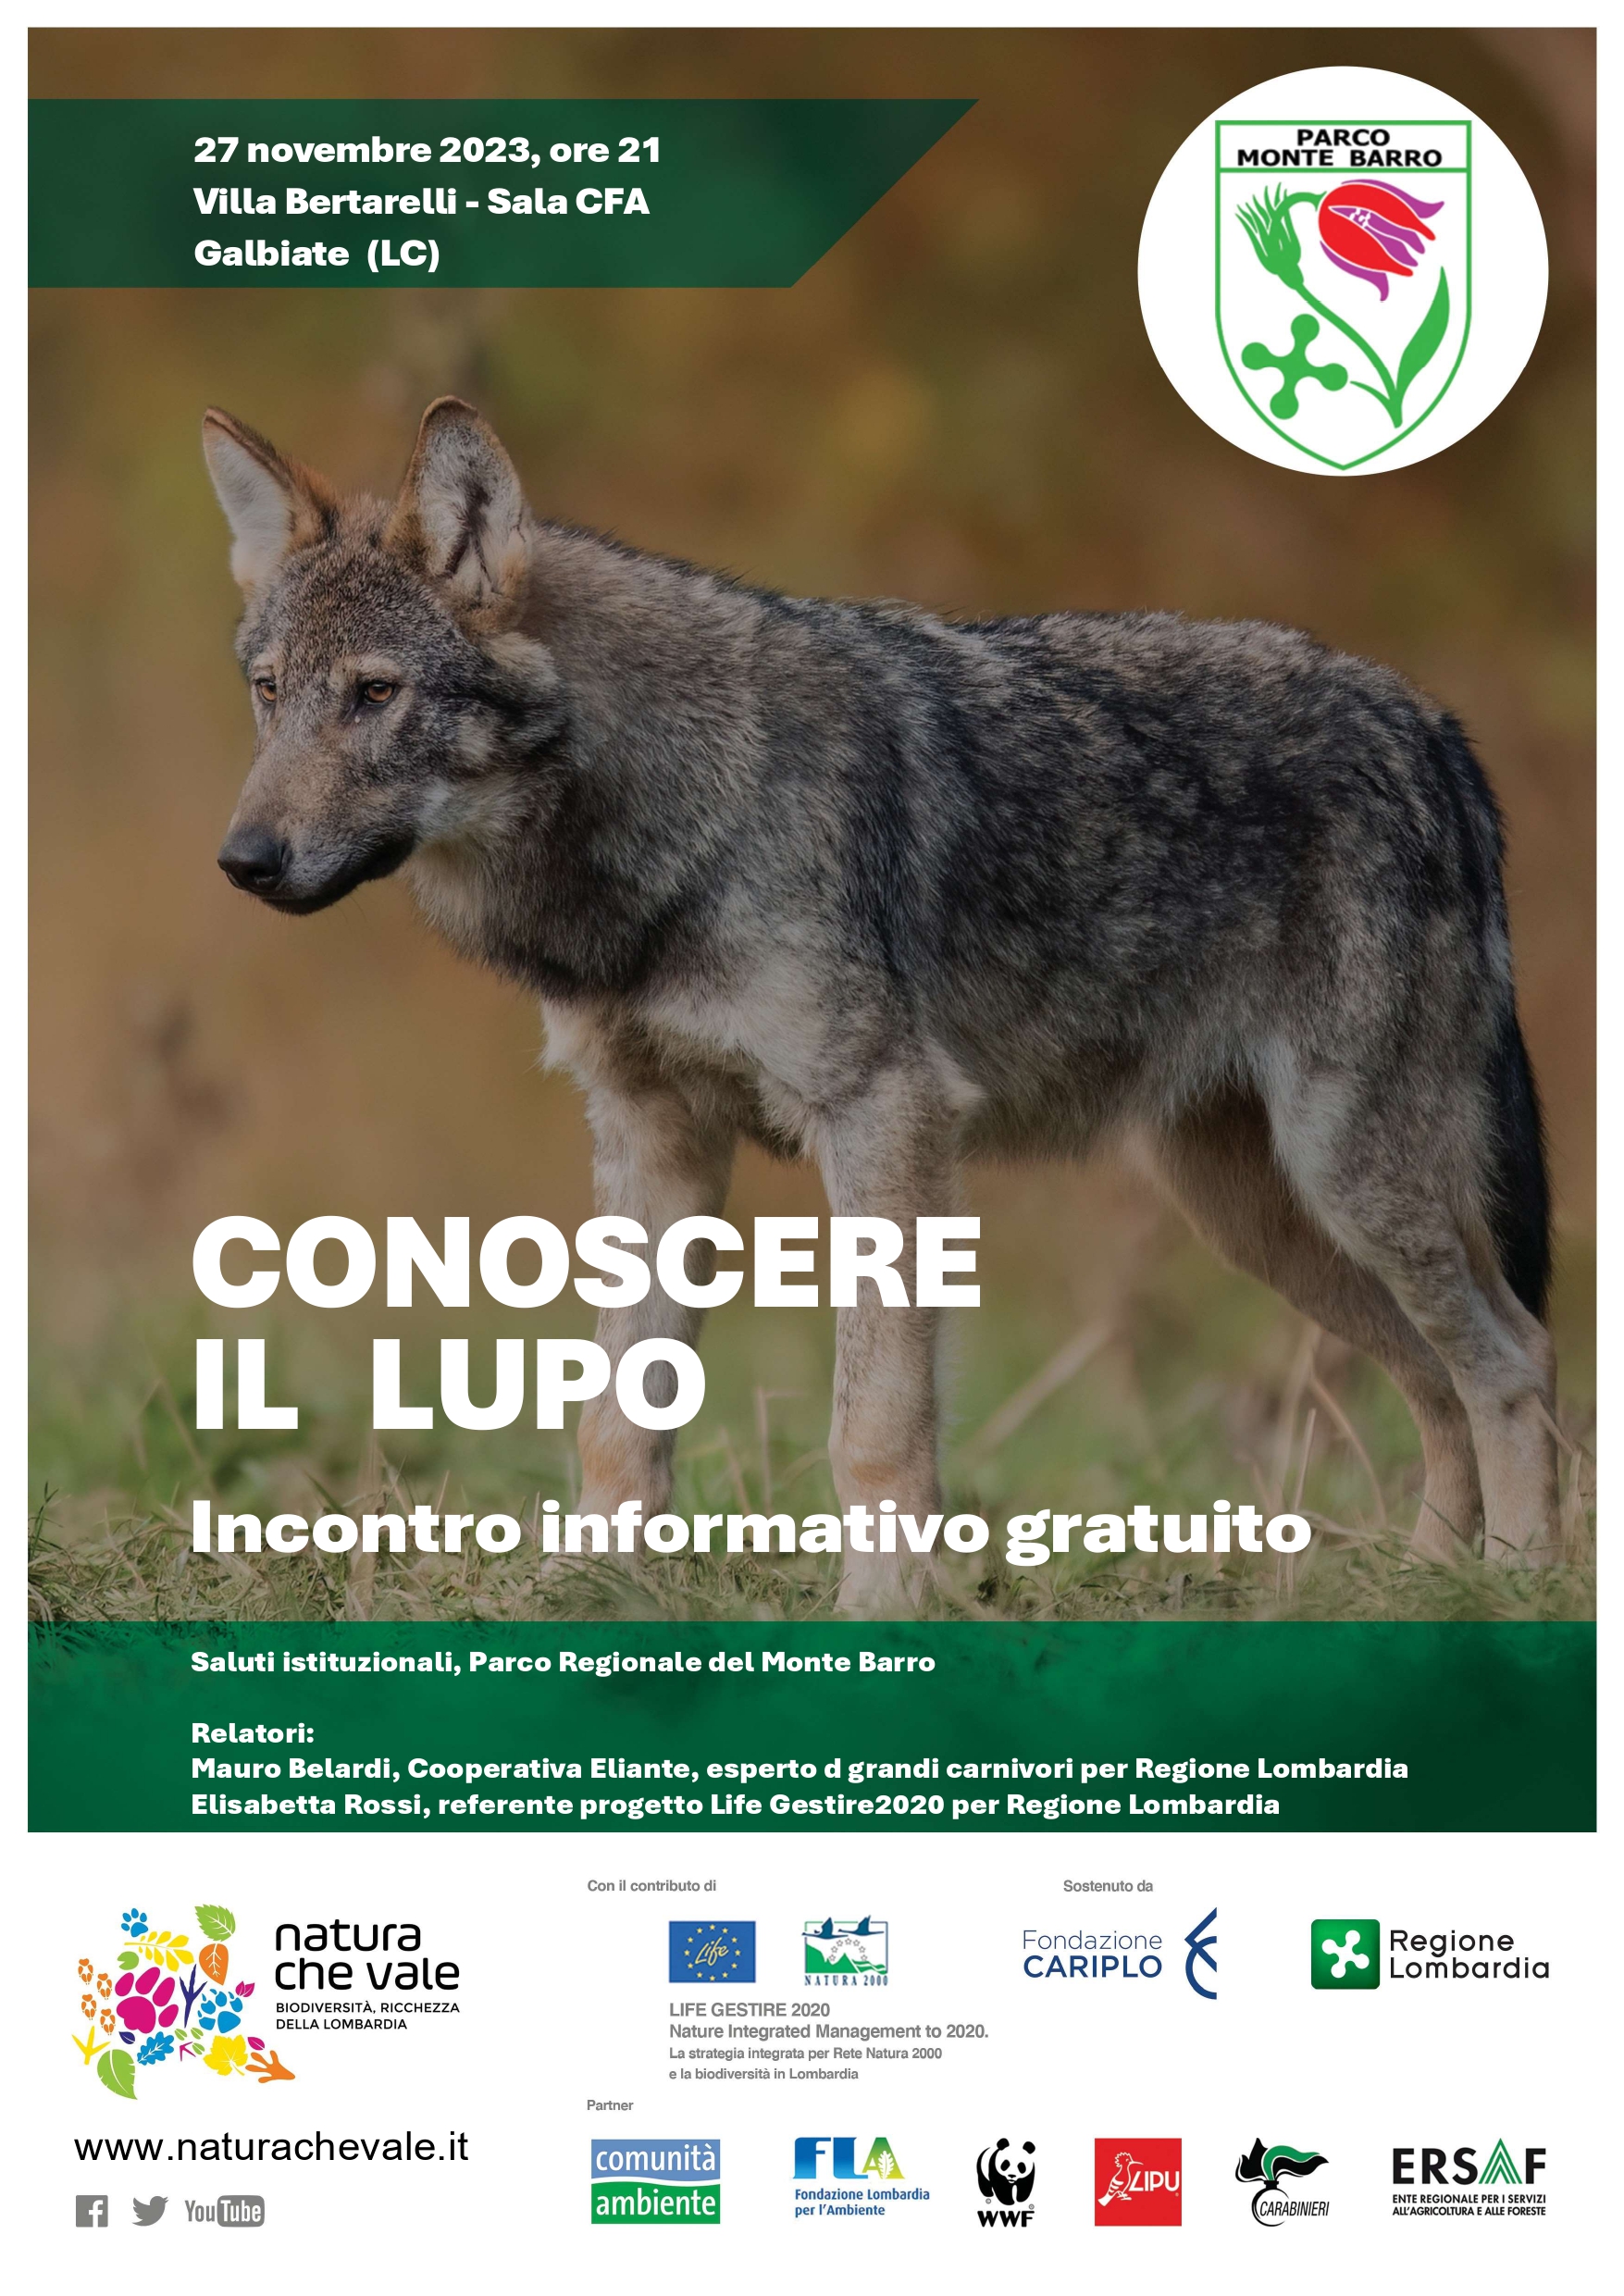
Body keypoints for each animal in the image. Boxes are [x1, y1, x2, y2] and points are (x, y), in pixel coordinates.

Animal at [204, 397, 1558, 1610]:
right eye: (269, 691)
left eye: (373, 694)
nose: (244, 860)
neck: (663, 825)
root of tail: (1430, 725)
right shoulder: (652, 1136)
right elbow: (615, 1414)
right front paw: (573, 1589)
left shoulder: (884, 1119)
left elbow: (876, 1423)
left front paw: (878, 1609)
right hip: (1257, 1216)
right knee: (1441, 1379)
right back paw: (1425, 1585)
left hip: (1346, 1185)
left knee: (1512, 1360)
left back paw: (1515, 1585)